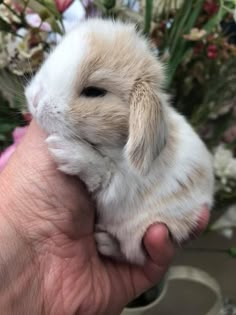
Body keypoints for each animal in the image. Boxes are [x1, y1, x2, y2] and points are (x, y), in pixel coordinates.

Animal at [25, 18, 214, 266]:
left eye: (94, 91)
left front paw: (66, 151)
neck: (114, 146)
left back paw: (103, 242)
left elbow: (102, 171)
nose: (35, 100)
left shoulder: (122, 186)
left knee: (132, 255)